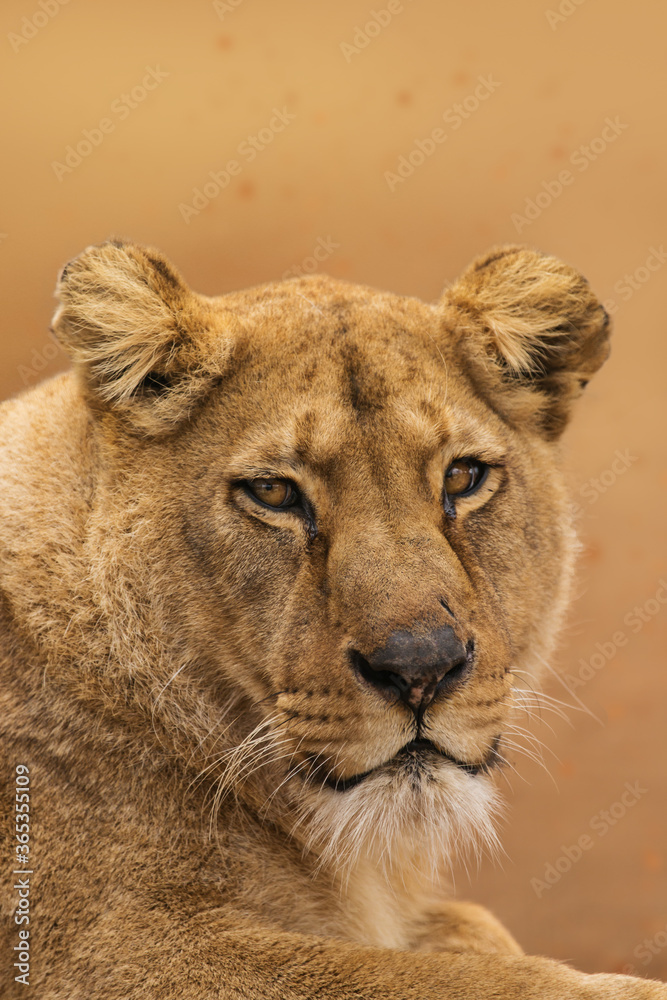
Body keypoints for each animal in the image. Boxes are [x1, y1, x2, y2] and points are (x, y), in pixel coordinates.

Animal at [1, 240, 664, 999]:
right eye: (273, 492)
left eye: (462, 477)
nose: (420, 669)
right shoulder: (110, 946)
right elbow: (459, 979)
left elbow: (472, 937)